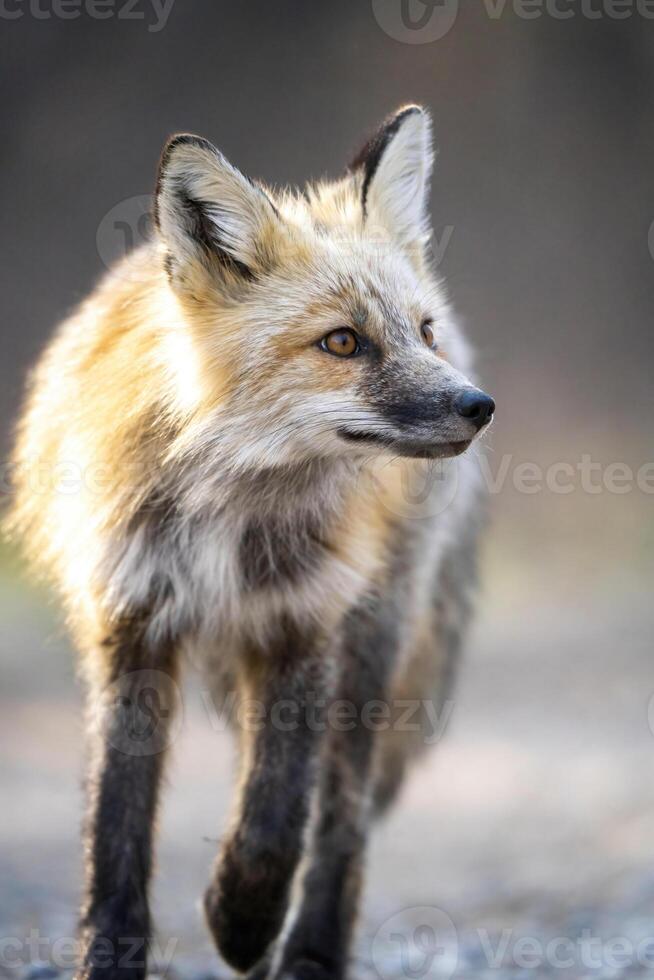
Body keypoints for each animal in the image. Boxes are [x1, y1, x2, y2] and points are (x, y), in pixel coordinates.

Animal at [6, 107, 498, 980]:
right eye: (342, 342)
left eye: (421, 331)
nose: (478, 406)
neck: (229, 513)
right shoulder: (129, 624)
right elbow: (115, 829)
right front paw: (113, 956)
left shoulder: (304, 621)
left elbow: (277, 820)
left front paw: (240, 920)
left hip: (376, 640)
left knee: (341, 821)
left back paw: (306, 953)